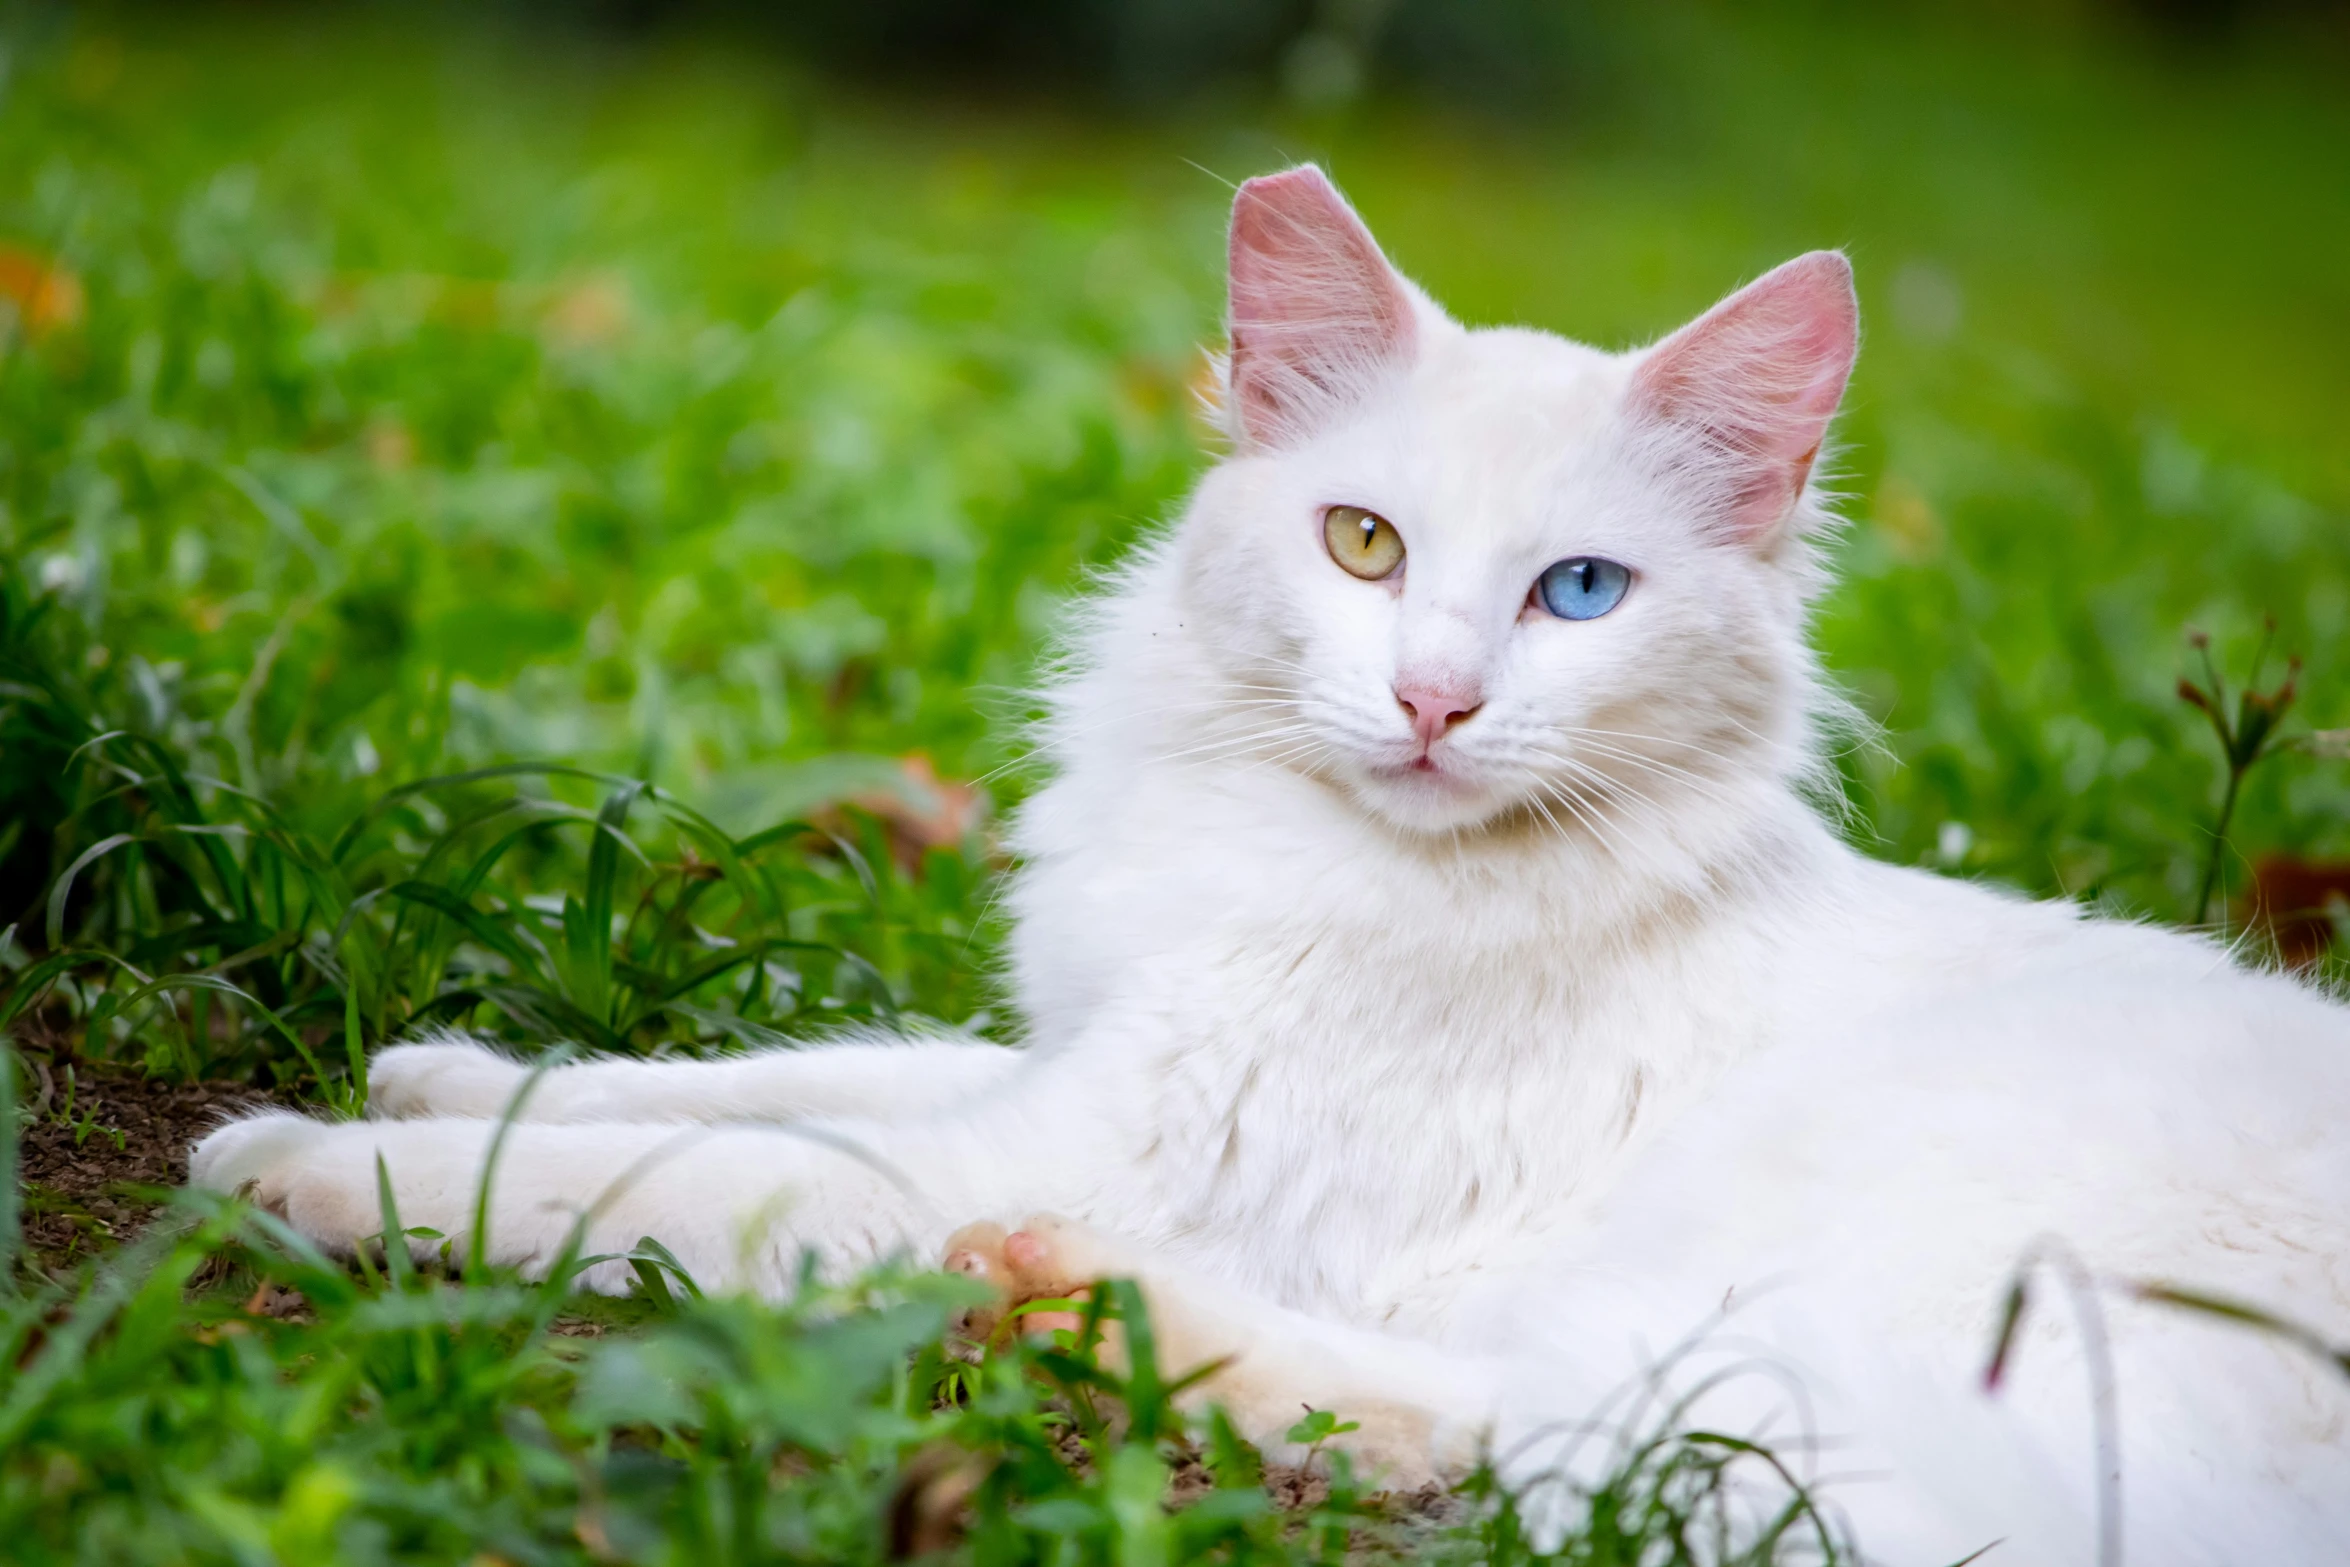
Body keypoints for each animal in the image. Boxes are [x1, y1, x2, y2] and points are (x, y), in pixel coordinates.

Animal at [197, 165, 2350, 1559]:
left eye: (1579, 593)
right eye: (1364, 546)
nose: (1432, 702)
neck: (1298, 847)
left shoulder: (1082, 1134)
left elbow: (658, 1167)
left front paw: (313, 1165)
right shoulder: (1067, 1060)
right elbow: (730, 1078)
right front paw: (434, 1075)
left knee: (1563, 1448)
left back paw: (1068, 1296)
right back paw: (1063, 1303)